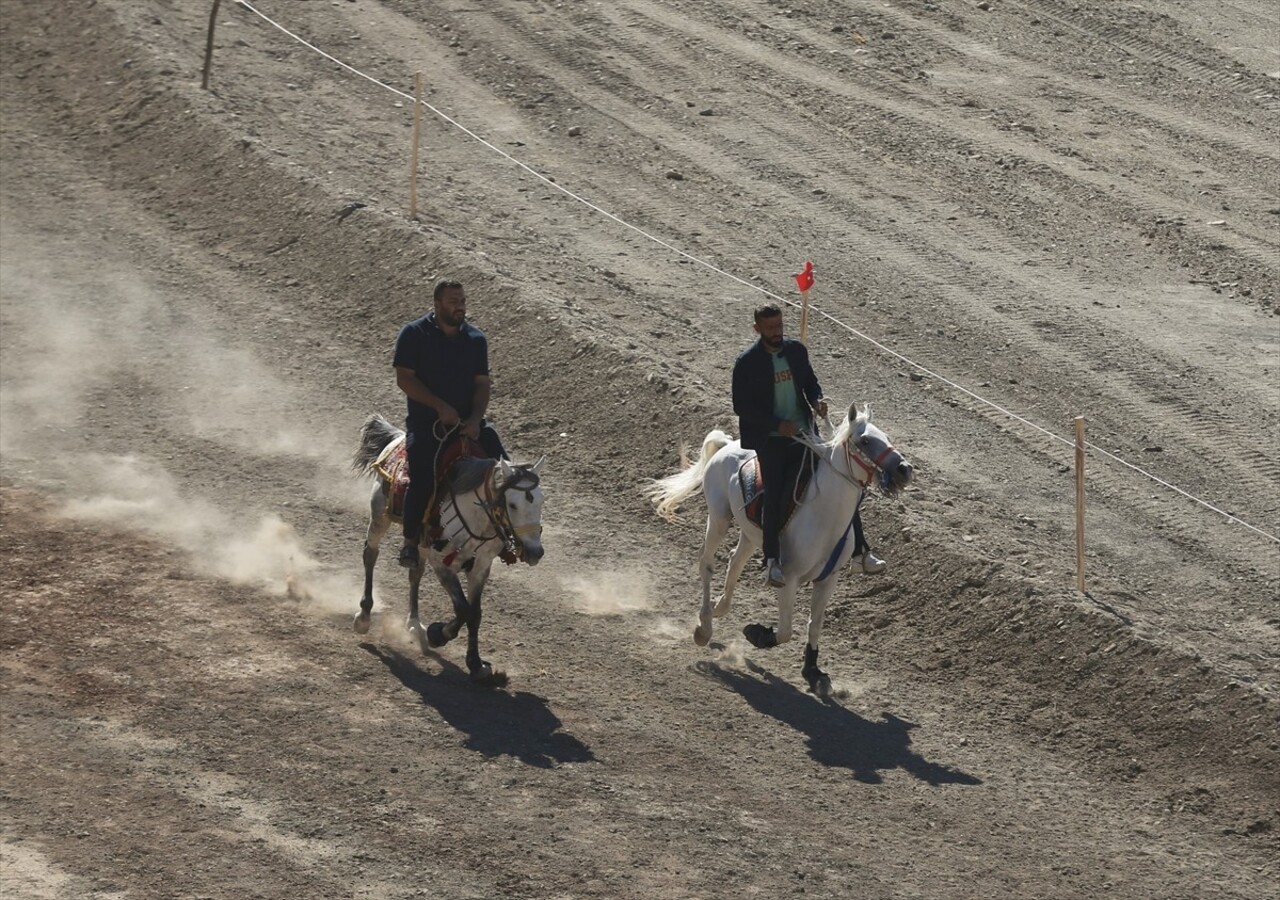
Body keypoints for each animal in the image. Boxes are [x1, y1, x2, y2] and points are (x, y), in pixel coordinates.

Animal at [350, 412, 545, 686]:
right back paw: (364, 615)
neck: (475, 514)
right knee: (370, 554)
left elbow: (475, 614)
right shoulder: (441, 563)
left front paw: (476, 664)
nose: (535, 551)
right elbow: (463, 609)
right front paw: (438, 634)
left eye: (541, 501)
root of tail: (397, 437)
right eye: (513, 504)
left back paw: (414, 623)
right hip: (379, 516)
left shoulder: (481, 567)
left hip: (419, 543)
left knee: (414, 573)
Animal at [650, 401, 911, 696]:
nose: (905, 469)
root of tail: (727, 445)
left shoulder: (828, 579)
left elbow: (814, 626)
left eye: (887, 437)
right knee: (707, 564)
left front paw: (814, 673)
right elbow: (786, 630)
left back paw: (719, 608)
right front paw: (757, 634)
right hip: (718, 518)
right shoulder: (790, 578)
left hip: (751, 535)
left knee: (734, 562)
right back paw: (704, 626)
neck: (825, 515)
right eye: (865, 440)